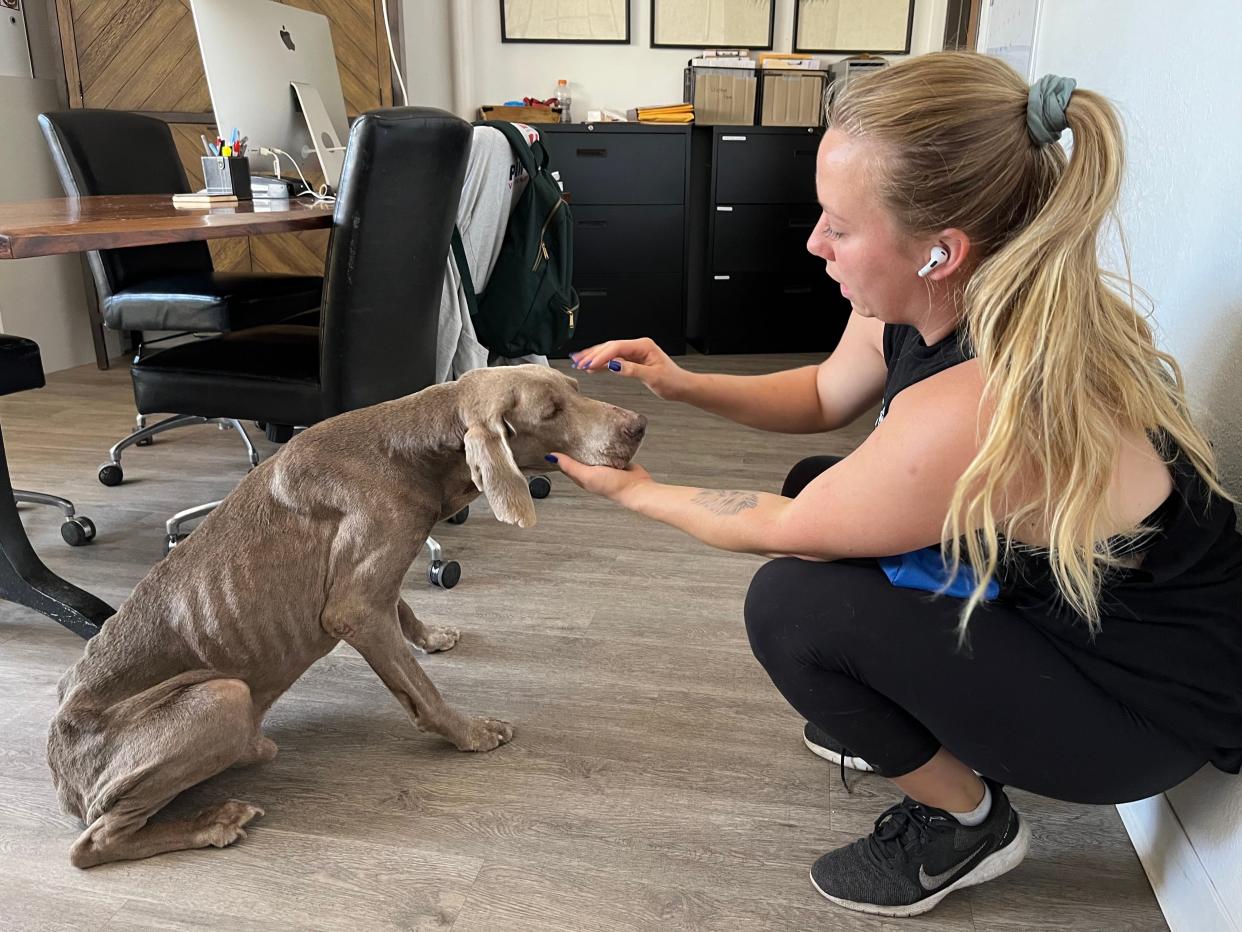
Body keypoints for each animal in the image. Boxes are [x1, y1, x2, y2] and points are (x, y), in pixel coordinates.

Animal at [45, 362, 650, 869]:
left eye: (575, 388)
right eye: (551, 412)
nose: (639, 425)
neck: (411, 450)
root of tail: (61, 780)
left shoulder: (367, 583)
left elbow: (402, 605)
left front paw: (433, 636)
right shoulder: (355, 611)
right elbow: (422, 690)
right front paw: (471, 733)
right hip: (221, 696)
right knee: (93, 843)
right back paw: (211, 823)